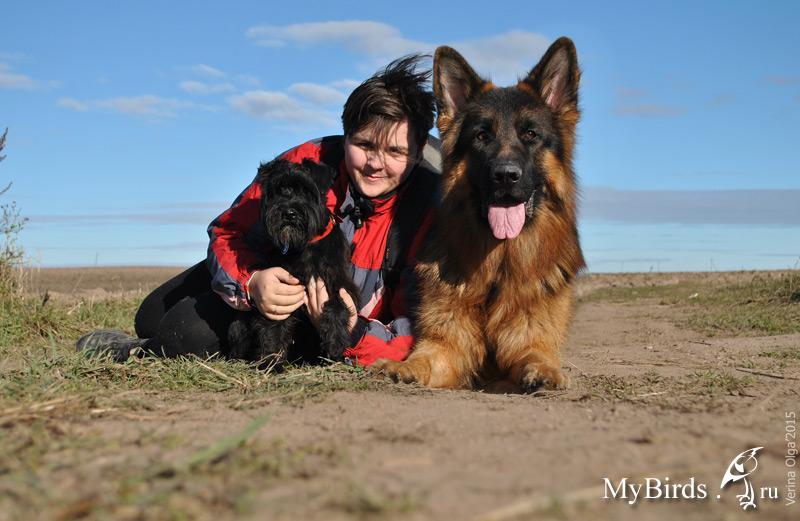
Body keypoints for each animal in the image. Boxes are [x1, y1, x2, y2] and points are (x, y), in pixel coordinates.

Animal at [227, 159, 359, 368]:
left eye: (306, 190)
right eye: (280, 190)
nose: (289, 213)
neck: (304, 247)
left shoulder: (337, 283)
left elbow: (337, 309)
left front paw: (335, 346)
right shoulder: (279, 292)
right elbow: (273, 326)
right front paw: (271, 362)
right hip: (239, 325)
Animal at [373, 37, 585, 391]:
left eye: (530, 135)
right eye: (482, 137)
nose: (505, 176)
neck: (499, 267)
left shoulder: (530, 339)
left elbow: (536, 354)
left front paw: (546, 372)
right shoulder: (445, 343)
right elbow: (425, 358)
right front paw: (402, 367)